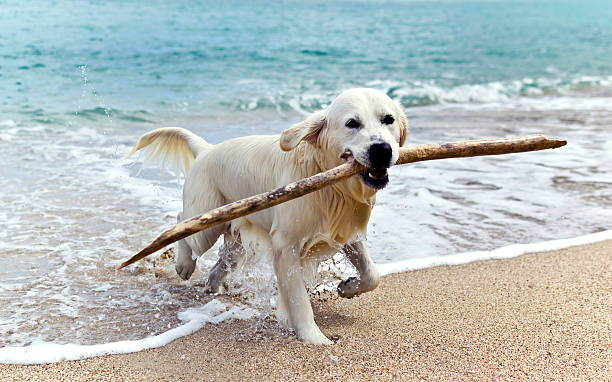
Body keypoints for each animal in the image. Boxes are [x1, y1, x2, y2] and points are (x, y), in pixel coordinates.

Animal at [126, 88, 408, 344]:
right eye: (352, 123)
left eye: (388, 119)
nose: (382, 149)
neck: (329, 183)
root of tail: (206, 150)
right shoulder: (286, 246)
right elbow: (298, 300)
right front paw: (314, 338)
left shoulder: (343, 231)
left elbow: (372, 274)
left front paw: (348, 287)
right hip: (207, 223)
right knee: (182, 223)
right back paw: (184, 264)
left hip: (235, 237)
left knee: (222, 261)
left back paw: (213, 285)